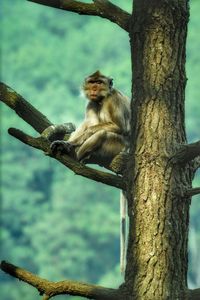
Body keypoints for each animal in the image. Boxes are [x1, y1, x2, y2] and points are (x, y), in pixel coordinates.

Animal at [50, 70, 130, 272]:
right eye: (92, 82)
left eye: (99, 83)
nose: (94, 88)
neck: (102, 99)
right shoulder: (91, 103)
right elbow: (89, 121)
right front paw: (67, 142)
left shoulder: (113, 99)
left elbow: (117, 126)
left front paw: (70, 145)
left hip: (117, 147)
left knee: (102, 133)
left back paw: (77, 155)